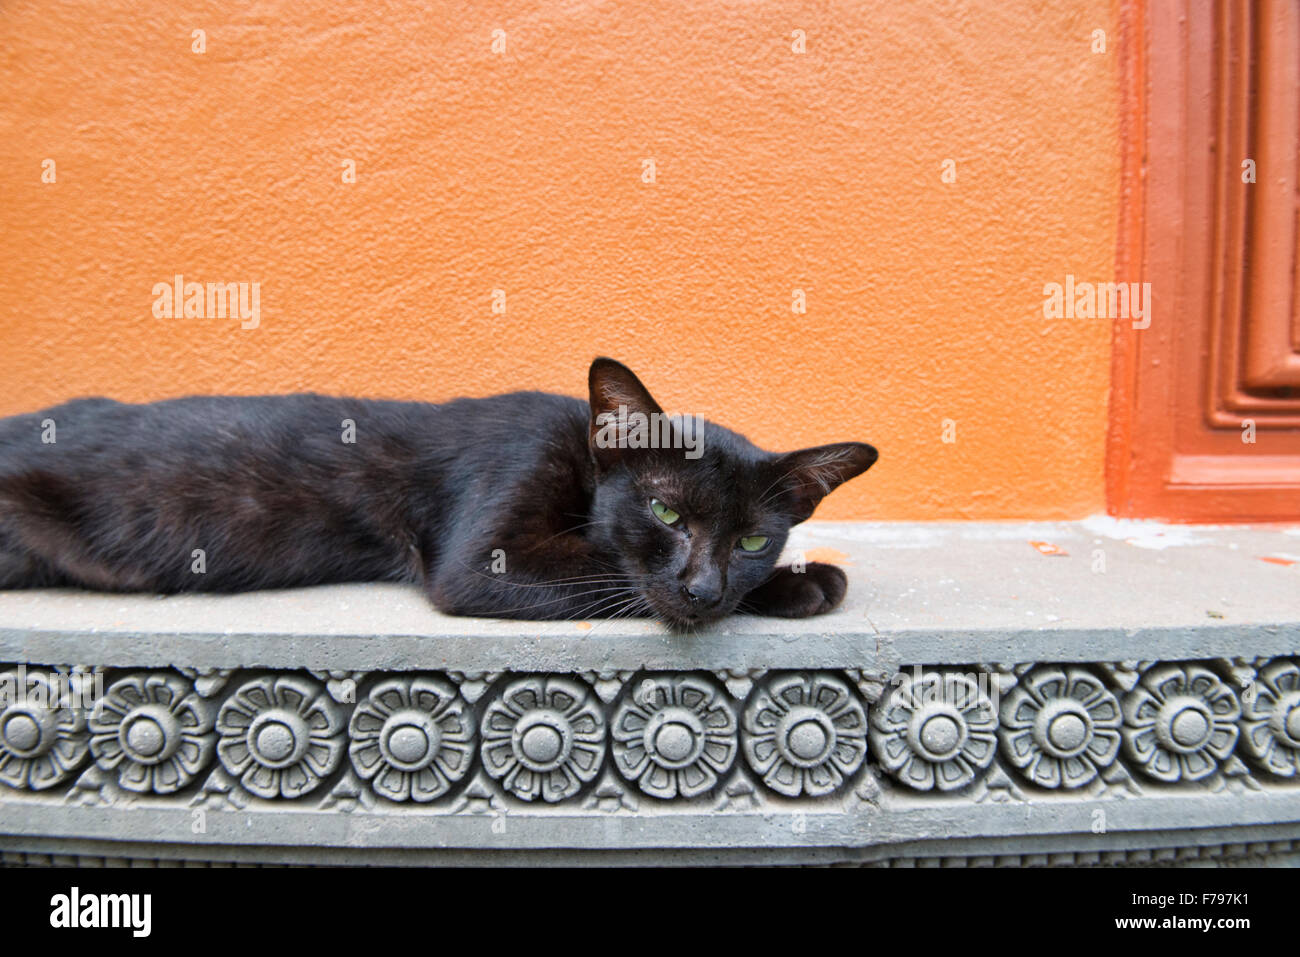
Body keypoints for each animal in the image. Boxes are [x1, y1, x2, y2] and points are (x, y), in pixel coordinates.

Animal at [0, 358, 878, 629]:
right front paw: (803, 583)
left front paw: (790, 577)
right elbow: (615, 573)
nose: (702, 586)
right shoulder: (487, 552)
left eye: (753, 537)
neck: (580, 456)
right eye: (665, 512)